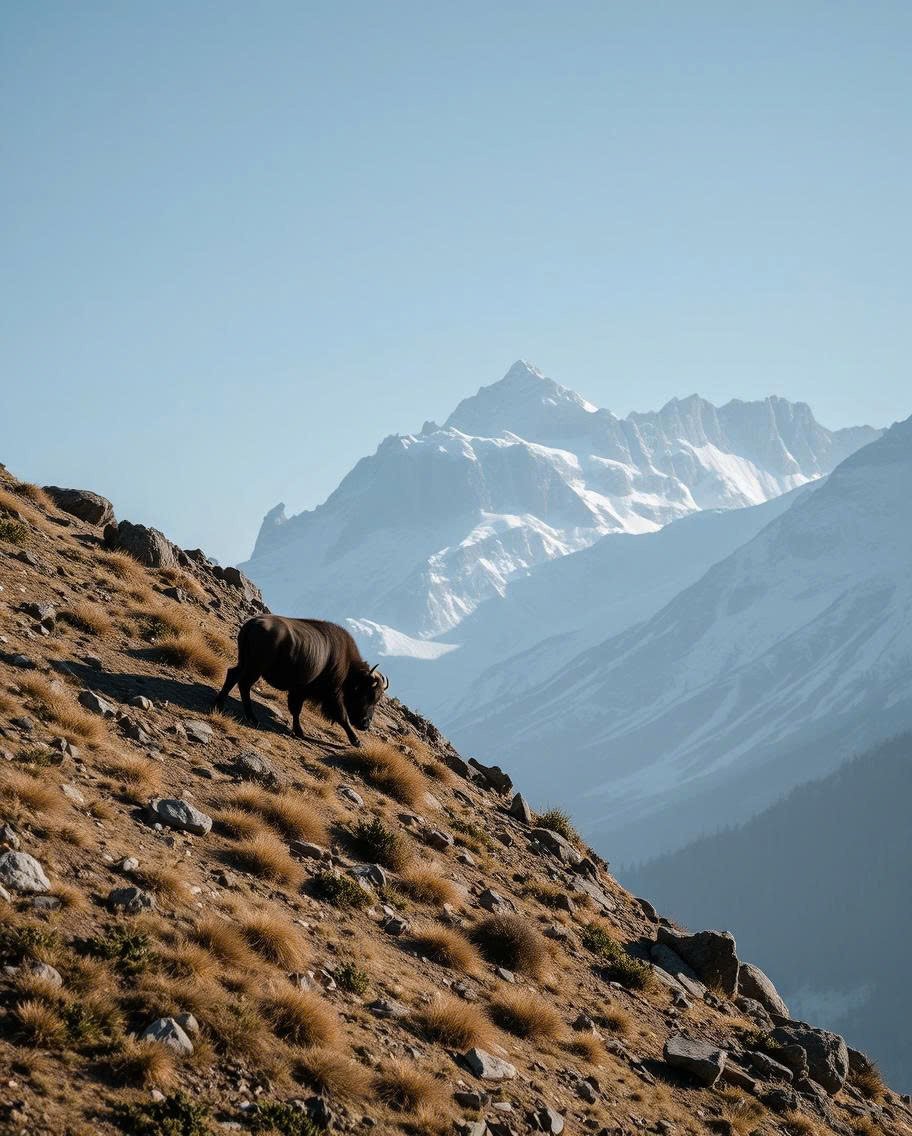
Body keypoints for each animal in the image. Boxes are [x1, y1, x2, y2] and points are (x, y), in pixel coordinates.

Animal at [216, 613, 388, 745]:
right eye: (368, 695)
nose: (365, 724)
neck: (349, 667)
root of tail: (252, 624)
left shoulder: (299, 691)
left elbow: (295, 710)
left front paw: (298, 731)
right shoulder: (331, 695)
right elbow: (342, 717)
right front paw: (356, 741)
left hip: (244, 663)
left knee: (232, 675)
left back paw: (220, 704)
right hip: (255, 668)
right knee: (244, 684)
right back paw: (251, 718)